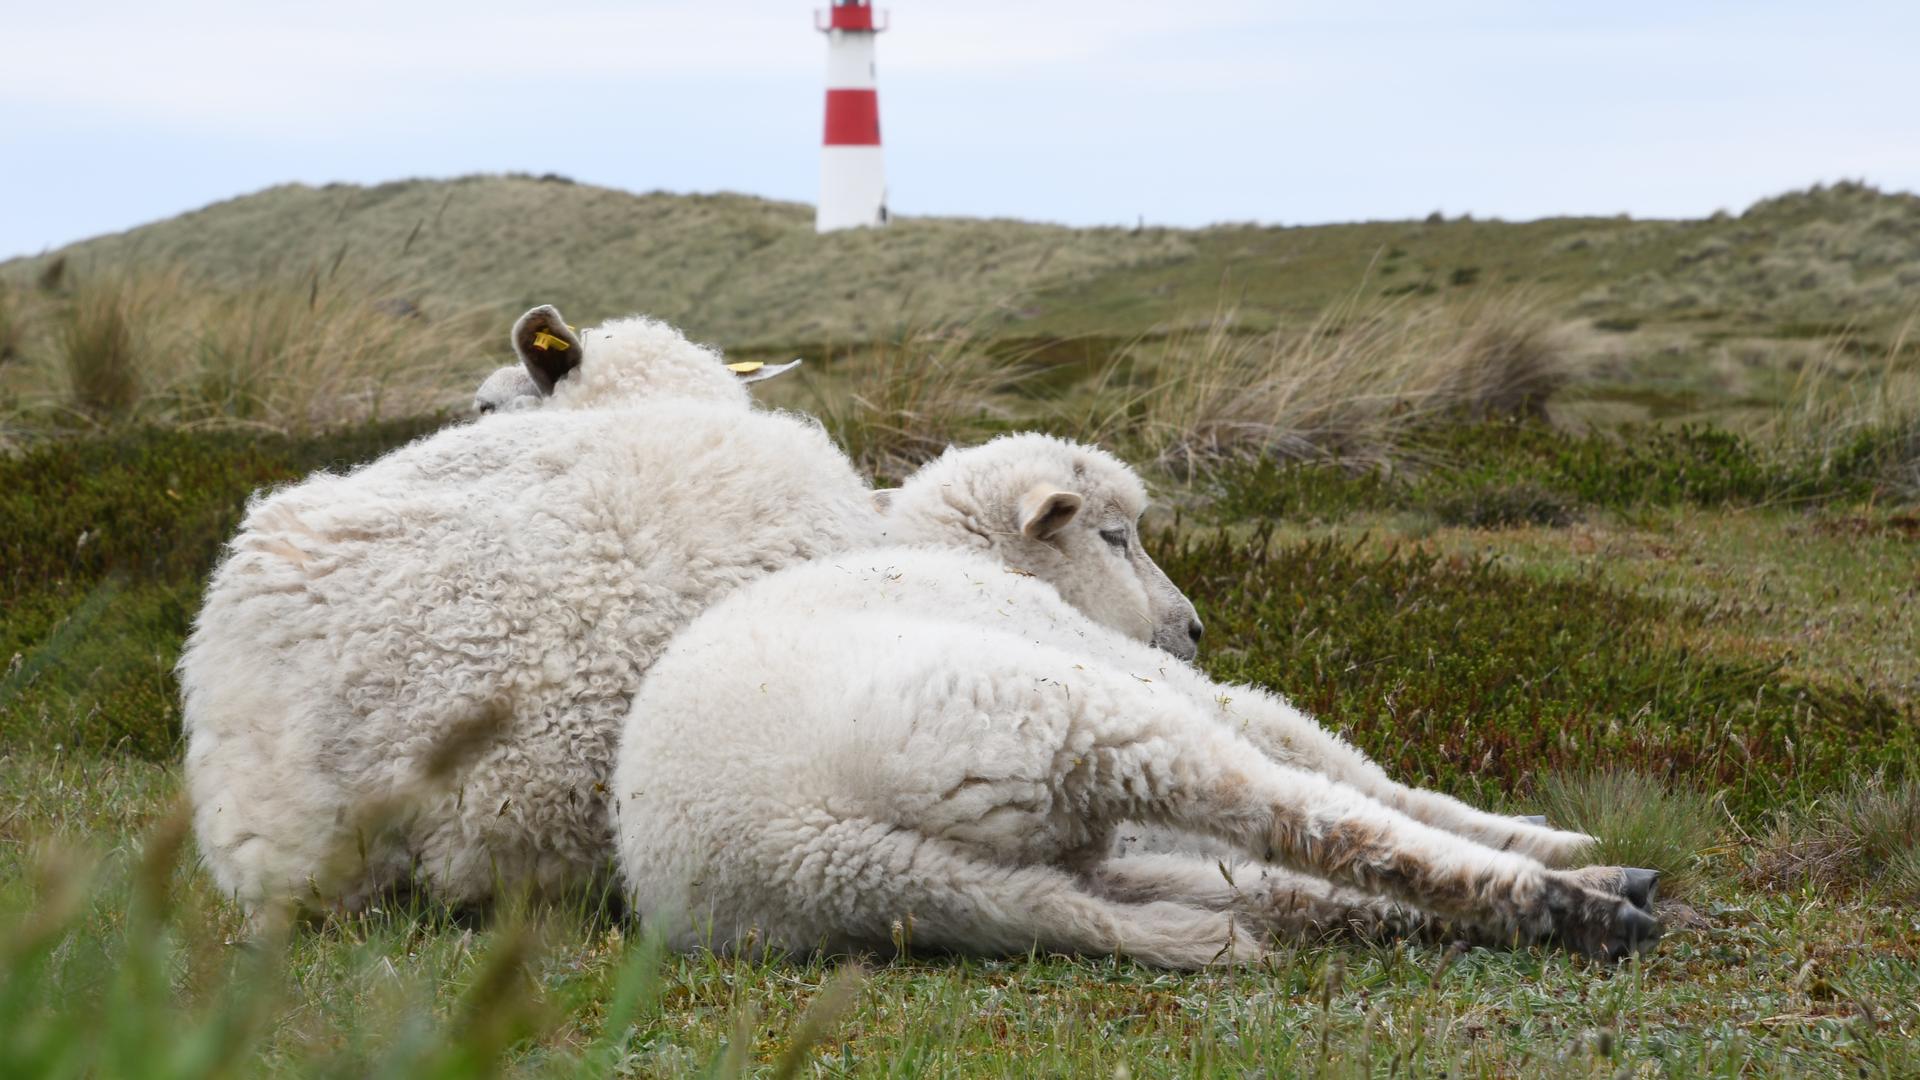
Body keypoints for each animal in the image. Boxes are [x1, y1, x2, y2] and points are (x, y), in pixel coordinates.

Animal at [612, 441, 1663, 968]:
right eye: (1116, 537)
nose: (1192, 628)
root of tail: (794, 838)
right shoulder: (1192, 693)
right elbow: (1358, 774)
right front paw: (1540, 834)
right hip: (1074, 720)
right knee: (1311, 823)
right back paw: (1575, 901)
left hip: (996, 880)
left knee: (1250, 895)